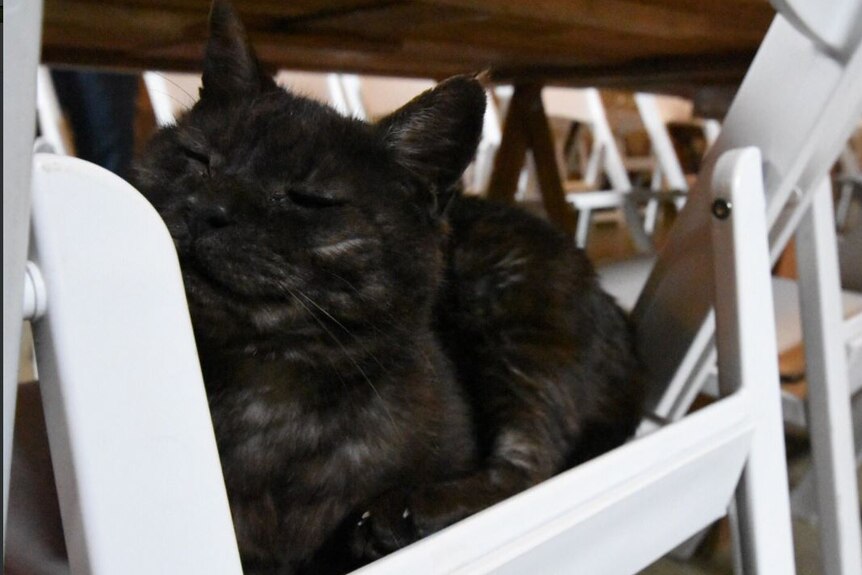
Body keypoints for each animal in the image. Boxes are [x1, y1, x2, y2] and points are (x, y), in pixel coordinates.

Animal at [135, 2, 644, 572]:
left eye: (309, 199)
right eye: (197, 158)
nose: (209, 209)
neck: (265, 393)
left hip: (515, 315)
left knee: (530, 469)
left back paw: (402, 514)